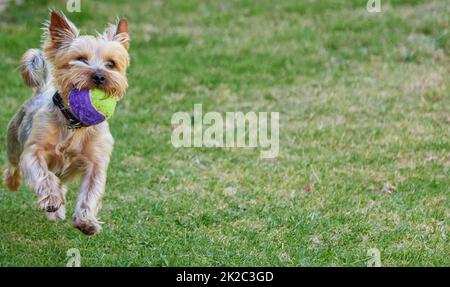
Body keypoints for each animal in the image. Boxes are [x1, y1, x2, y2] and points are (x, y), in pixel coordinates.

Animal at [3, 11, 130, 236]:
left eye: (111, 64)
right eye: (81, 59)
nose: (99, 76)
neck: (75, 123)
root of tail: (42, 89)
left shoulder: (96, 162)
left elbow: (90, 191)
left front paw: (85, 221)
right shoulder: (34, 151)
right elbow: (43, 175)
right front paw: (51, 199)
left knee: (60, 183)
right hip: (14, 140)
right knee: (13, 165)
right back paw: (14, 183)